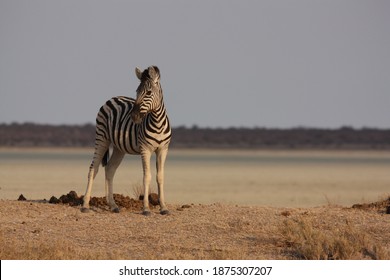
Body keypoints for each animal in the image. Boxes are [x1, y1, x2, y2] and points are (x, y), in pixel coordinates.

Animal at [81, 66, 171, 217]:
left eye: (148, 92)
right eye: (137, 91)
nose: (134, 116)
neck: (157, 122)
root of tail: (113, 98)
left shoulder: (163, 149)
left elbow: (160, 177)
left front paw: (163, 207)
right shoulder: (145, 149)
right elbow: (147, 177)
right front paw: (146, 208)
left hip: (119, 148)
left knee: (110, 169)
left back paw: (113, 205)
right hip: (101, 138)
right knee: (94, 168)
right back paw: (85, 205)